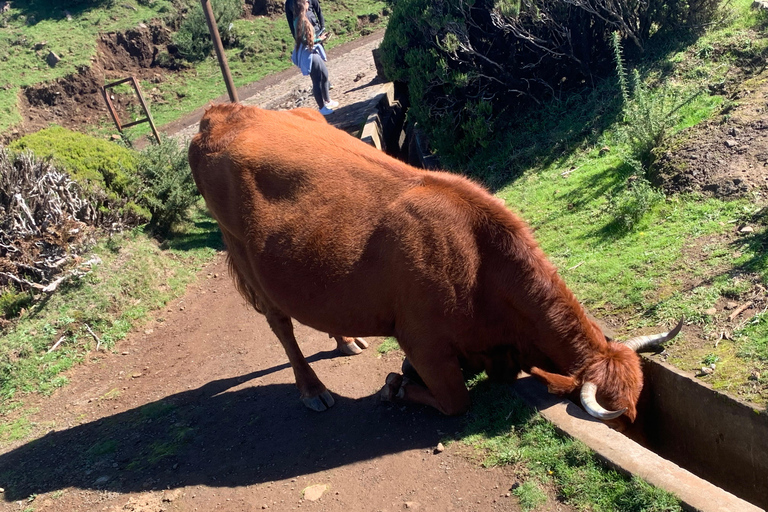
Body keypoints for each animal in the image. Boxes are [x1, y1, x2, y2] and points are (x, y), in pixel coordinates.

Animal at [189, 102, 680, 426]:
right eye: (618, 419)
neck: (480, 263)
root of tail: (223, 111)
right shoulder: (422, 339)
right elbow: (454, 400)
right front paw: (397, 385)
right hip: (244, 257)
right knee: (280, 324)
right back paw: (313, 390)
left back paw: (346, 340)